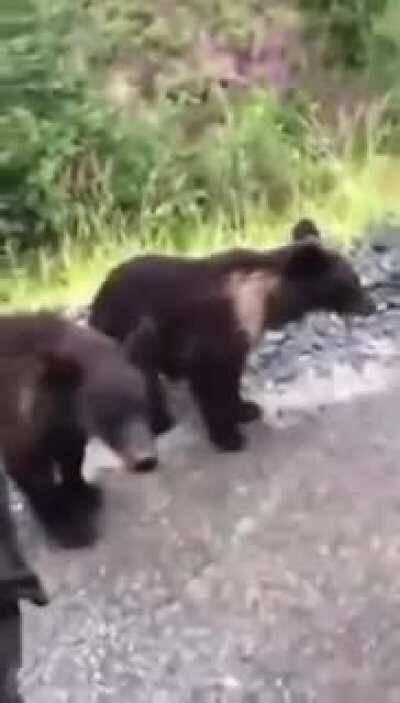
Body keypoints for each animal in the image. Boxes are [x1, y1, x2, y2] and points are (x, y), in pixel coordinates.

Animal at [0, 311, 157, 545]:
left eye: (142, 404)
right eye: (108, 416)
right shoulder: (19, 421)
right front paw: (69, 527)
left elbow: (72, 455)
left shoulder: (65, 425)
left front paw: (83, 492)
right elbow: (32, 473)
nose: (145, 459)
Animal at [89, 219, 375, 452]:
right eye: (352, 283)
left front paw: (245, 409)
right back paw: (159, 421)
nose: (371, 306)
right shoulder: (212, 329)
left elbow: (232, 375)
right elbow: (208, 379)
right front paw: (228, 436)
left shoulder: (239, 337)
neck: (268, 299)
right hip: (127, 331)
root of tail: (98, 297)